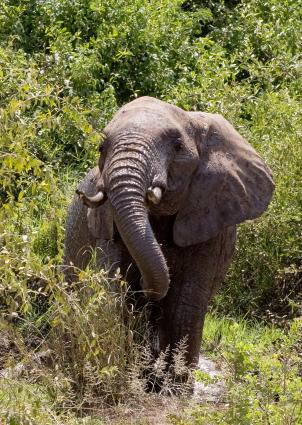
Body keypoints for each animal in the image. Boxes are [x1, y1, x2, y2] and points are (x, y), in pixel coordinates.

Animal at [63, 95, 274, 374]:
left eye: (177, 146)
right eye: (101, 147)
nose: (143, 284)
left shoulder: (210, 220)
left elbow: (185, 306)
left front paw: (174, 384)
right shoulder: (106, 222)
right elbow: (112, 291)